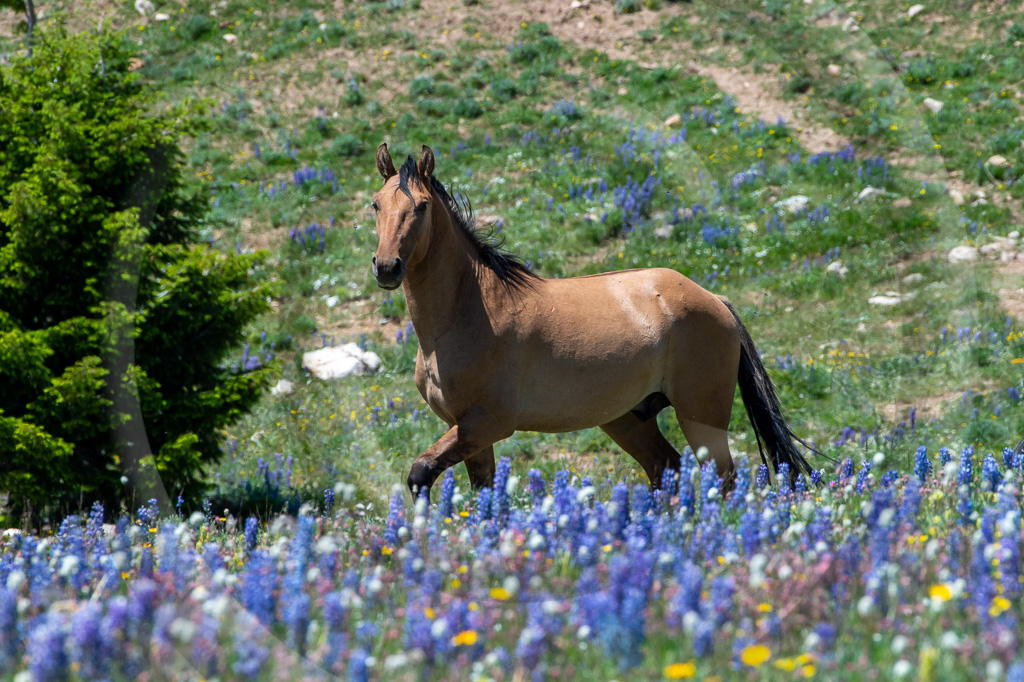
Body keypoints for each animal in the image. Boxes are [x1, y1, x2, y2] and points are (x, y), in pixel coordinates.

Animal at [372, 142, 811, 493]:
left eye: (422, 206)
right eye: (376, 204)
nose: (387, 267)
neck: (470, 313)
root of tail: (715, 300)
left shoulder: (486, 423)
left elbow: (420, 473)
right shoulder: (470, 432)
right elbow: (482, 495)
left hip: (701, 415)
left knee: (722, 478)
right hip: (627, 419)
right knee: (664, 467)